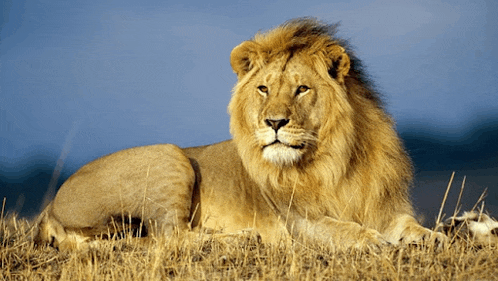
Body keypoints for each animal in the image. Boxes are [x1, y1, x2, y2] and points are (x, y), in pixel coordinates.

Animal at [34, 17, 444, 249]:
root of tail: (50, 208)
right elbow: (345, 231)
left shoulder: (384, 205)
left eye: (302, 89)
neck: (334, 160)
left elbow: (407, 224)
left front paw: (431, 237)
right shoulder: (299, 222)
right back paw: (243, 238)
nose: (274, 123)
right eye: (263, 89)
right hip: (170, 155)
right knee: (168, 237)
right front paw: (375, 242)